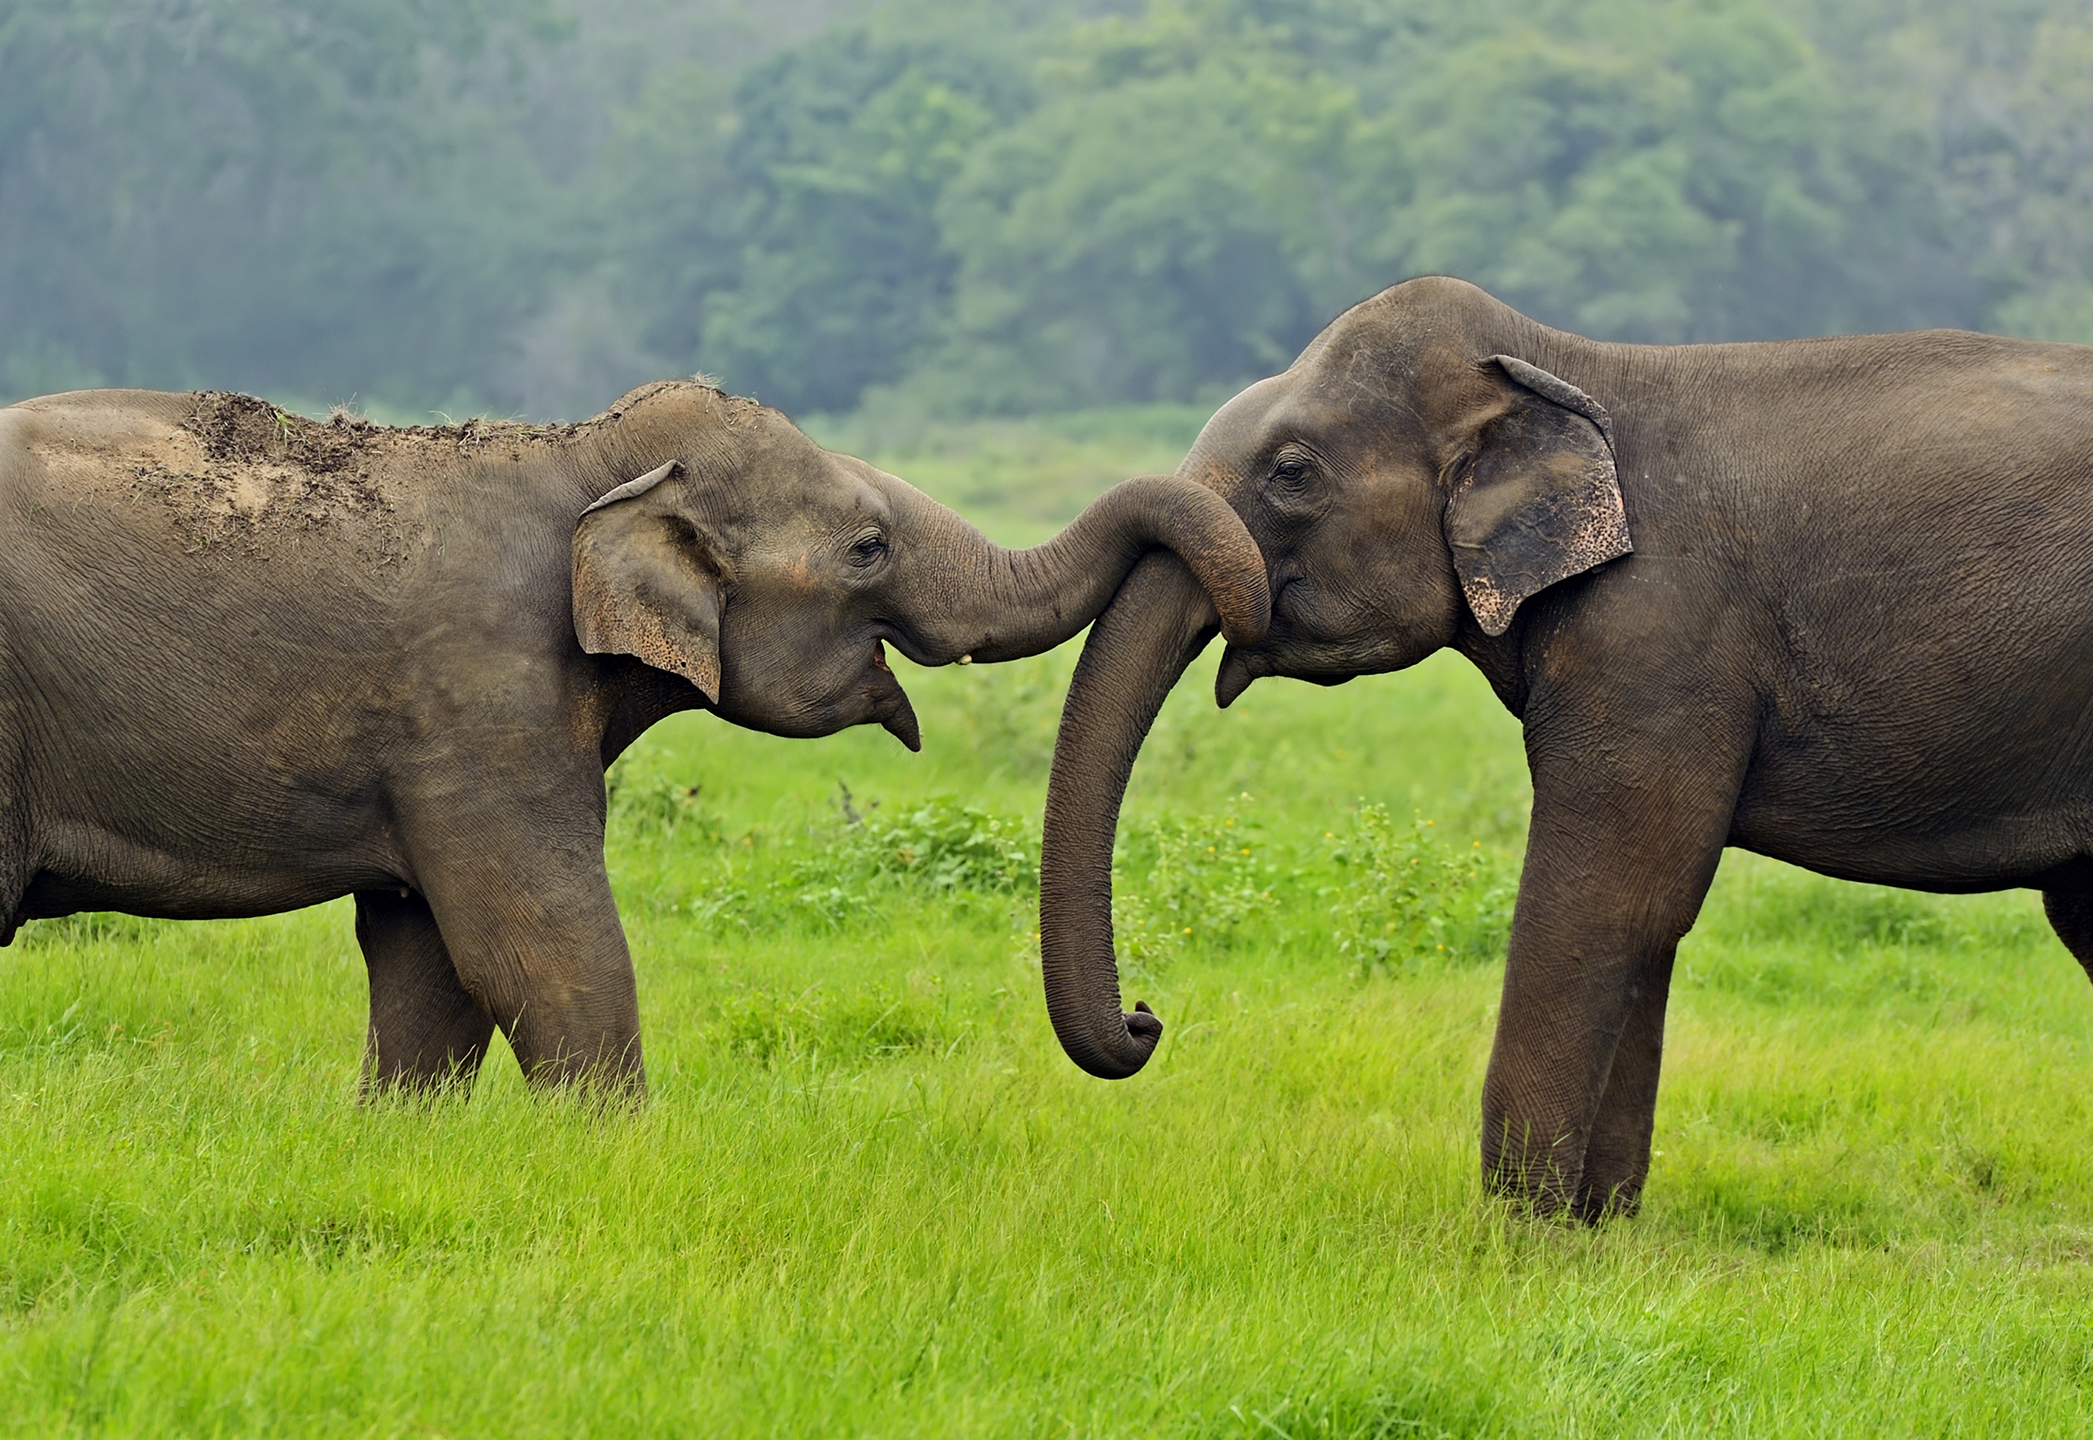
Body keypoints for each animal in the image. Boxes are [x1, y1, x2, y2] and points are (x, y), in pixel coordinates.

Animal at [0, 376, 1264, 1096]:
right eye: (866, 549)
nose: (1148, 1015)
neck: (587, 454)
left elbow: (427, 960)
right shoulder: (479, 694)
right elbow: (537, 948)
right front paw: (616, 1155)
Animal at [1038, 276, 2093, 1222]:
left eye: (1292, 473)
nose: (1147, 1018)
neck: (1562, 365)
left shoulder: (1659, 637)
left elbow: (1610, 899)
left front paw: (1516, 1240)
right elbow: (1645, 922)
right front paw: (1596, 1234)